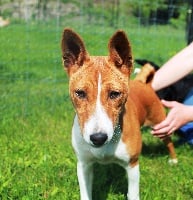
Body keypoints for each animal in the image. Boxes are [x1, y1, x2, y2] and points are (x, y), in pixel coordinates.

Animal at [61, 28, 177, 200]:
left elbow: (133, 194)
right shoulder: (83, 165)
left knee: (169, 142)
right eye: (80, 93)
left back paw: (173, 160)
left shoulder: (132, 166)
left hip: (160, 125)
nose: (98, 138)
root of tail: (143, 83)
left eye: (114, 94)